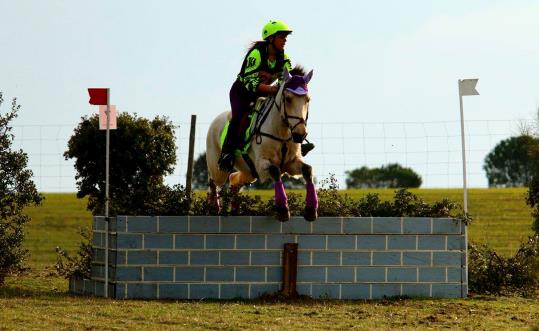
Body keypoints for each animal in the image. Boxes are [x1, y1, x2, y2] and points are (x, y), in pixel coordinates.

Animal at [206, 67, 316, 223]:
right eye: (288, 99)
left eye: (308, 99)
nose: (300, 135)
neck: (281, 132)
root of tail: (214, 121)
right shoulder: (261, 163)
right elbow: (275, 171)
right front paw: (283, 209)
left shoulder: (291, 163)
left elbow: (307, 169)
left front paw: (311, 210)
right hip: (218, 167)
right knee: (213, 182)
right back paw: (213, 208)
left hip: (249, 172)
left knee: (234, 179)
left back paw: (234, 209)